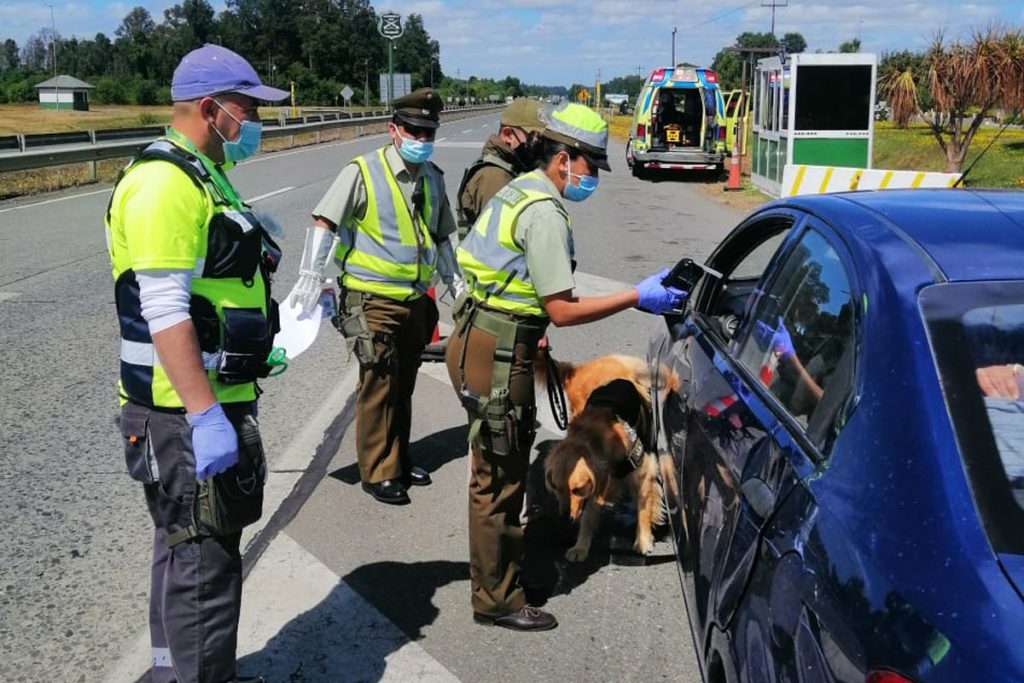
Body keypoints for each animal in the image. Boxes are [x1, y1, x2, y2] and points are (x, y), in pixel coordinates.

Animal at [536, 350, 679, 565]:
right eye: (555, 487)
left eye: (576, 489)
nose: (564, 519)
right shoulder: (595, 488)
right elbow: (588, 516)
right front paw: (581, 546)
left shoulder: (643, 470)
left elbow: (643, 508)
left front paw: (643, 540)